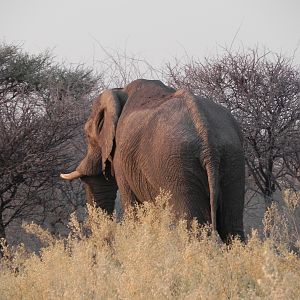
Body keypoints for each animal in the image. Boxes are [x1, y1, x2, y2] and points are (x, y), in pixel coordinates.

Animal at [60, 79, 244, 241]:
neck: (119, 92)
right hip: (232, 158)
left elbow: (133, 208)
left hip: (176, 164)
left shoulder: (122, 158)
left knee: (192, 224)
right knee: (231, 226)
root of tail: (206, 134)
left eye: (86, 135)